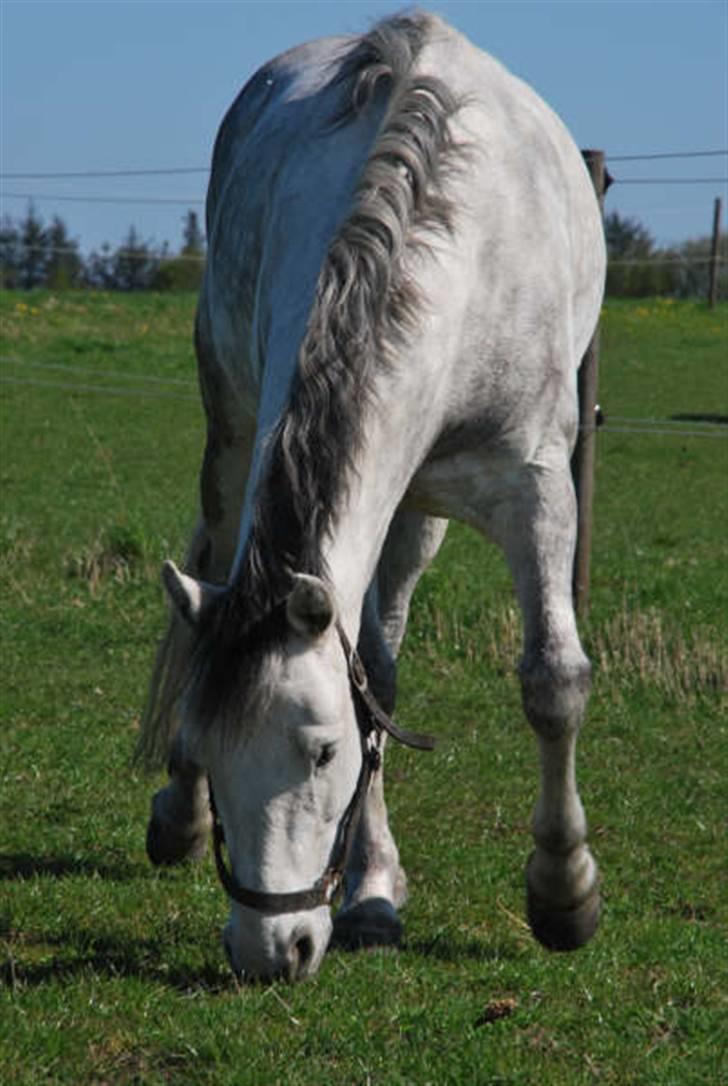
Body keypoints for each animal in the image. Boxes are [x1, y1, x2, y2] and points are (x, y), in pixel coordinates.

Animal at [136, 12, 604, 986]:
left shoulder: (537, 488)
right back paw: (215, 832)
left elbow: (551, 682)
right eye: (209, 743)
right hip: (234, 445)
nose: (270, 950)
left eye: (320, 751)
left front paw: (564, 895)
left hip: (417, 509)